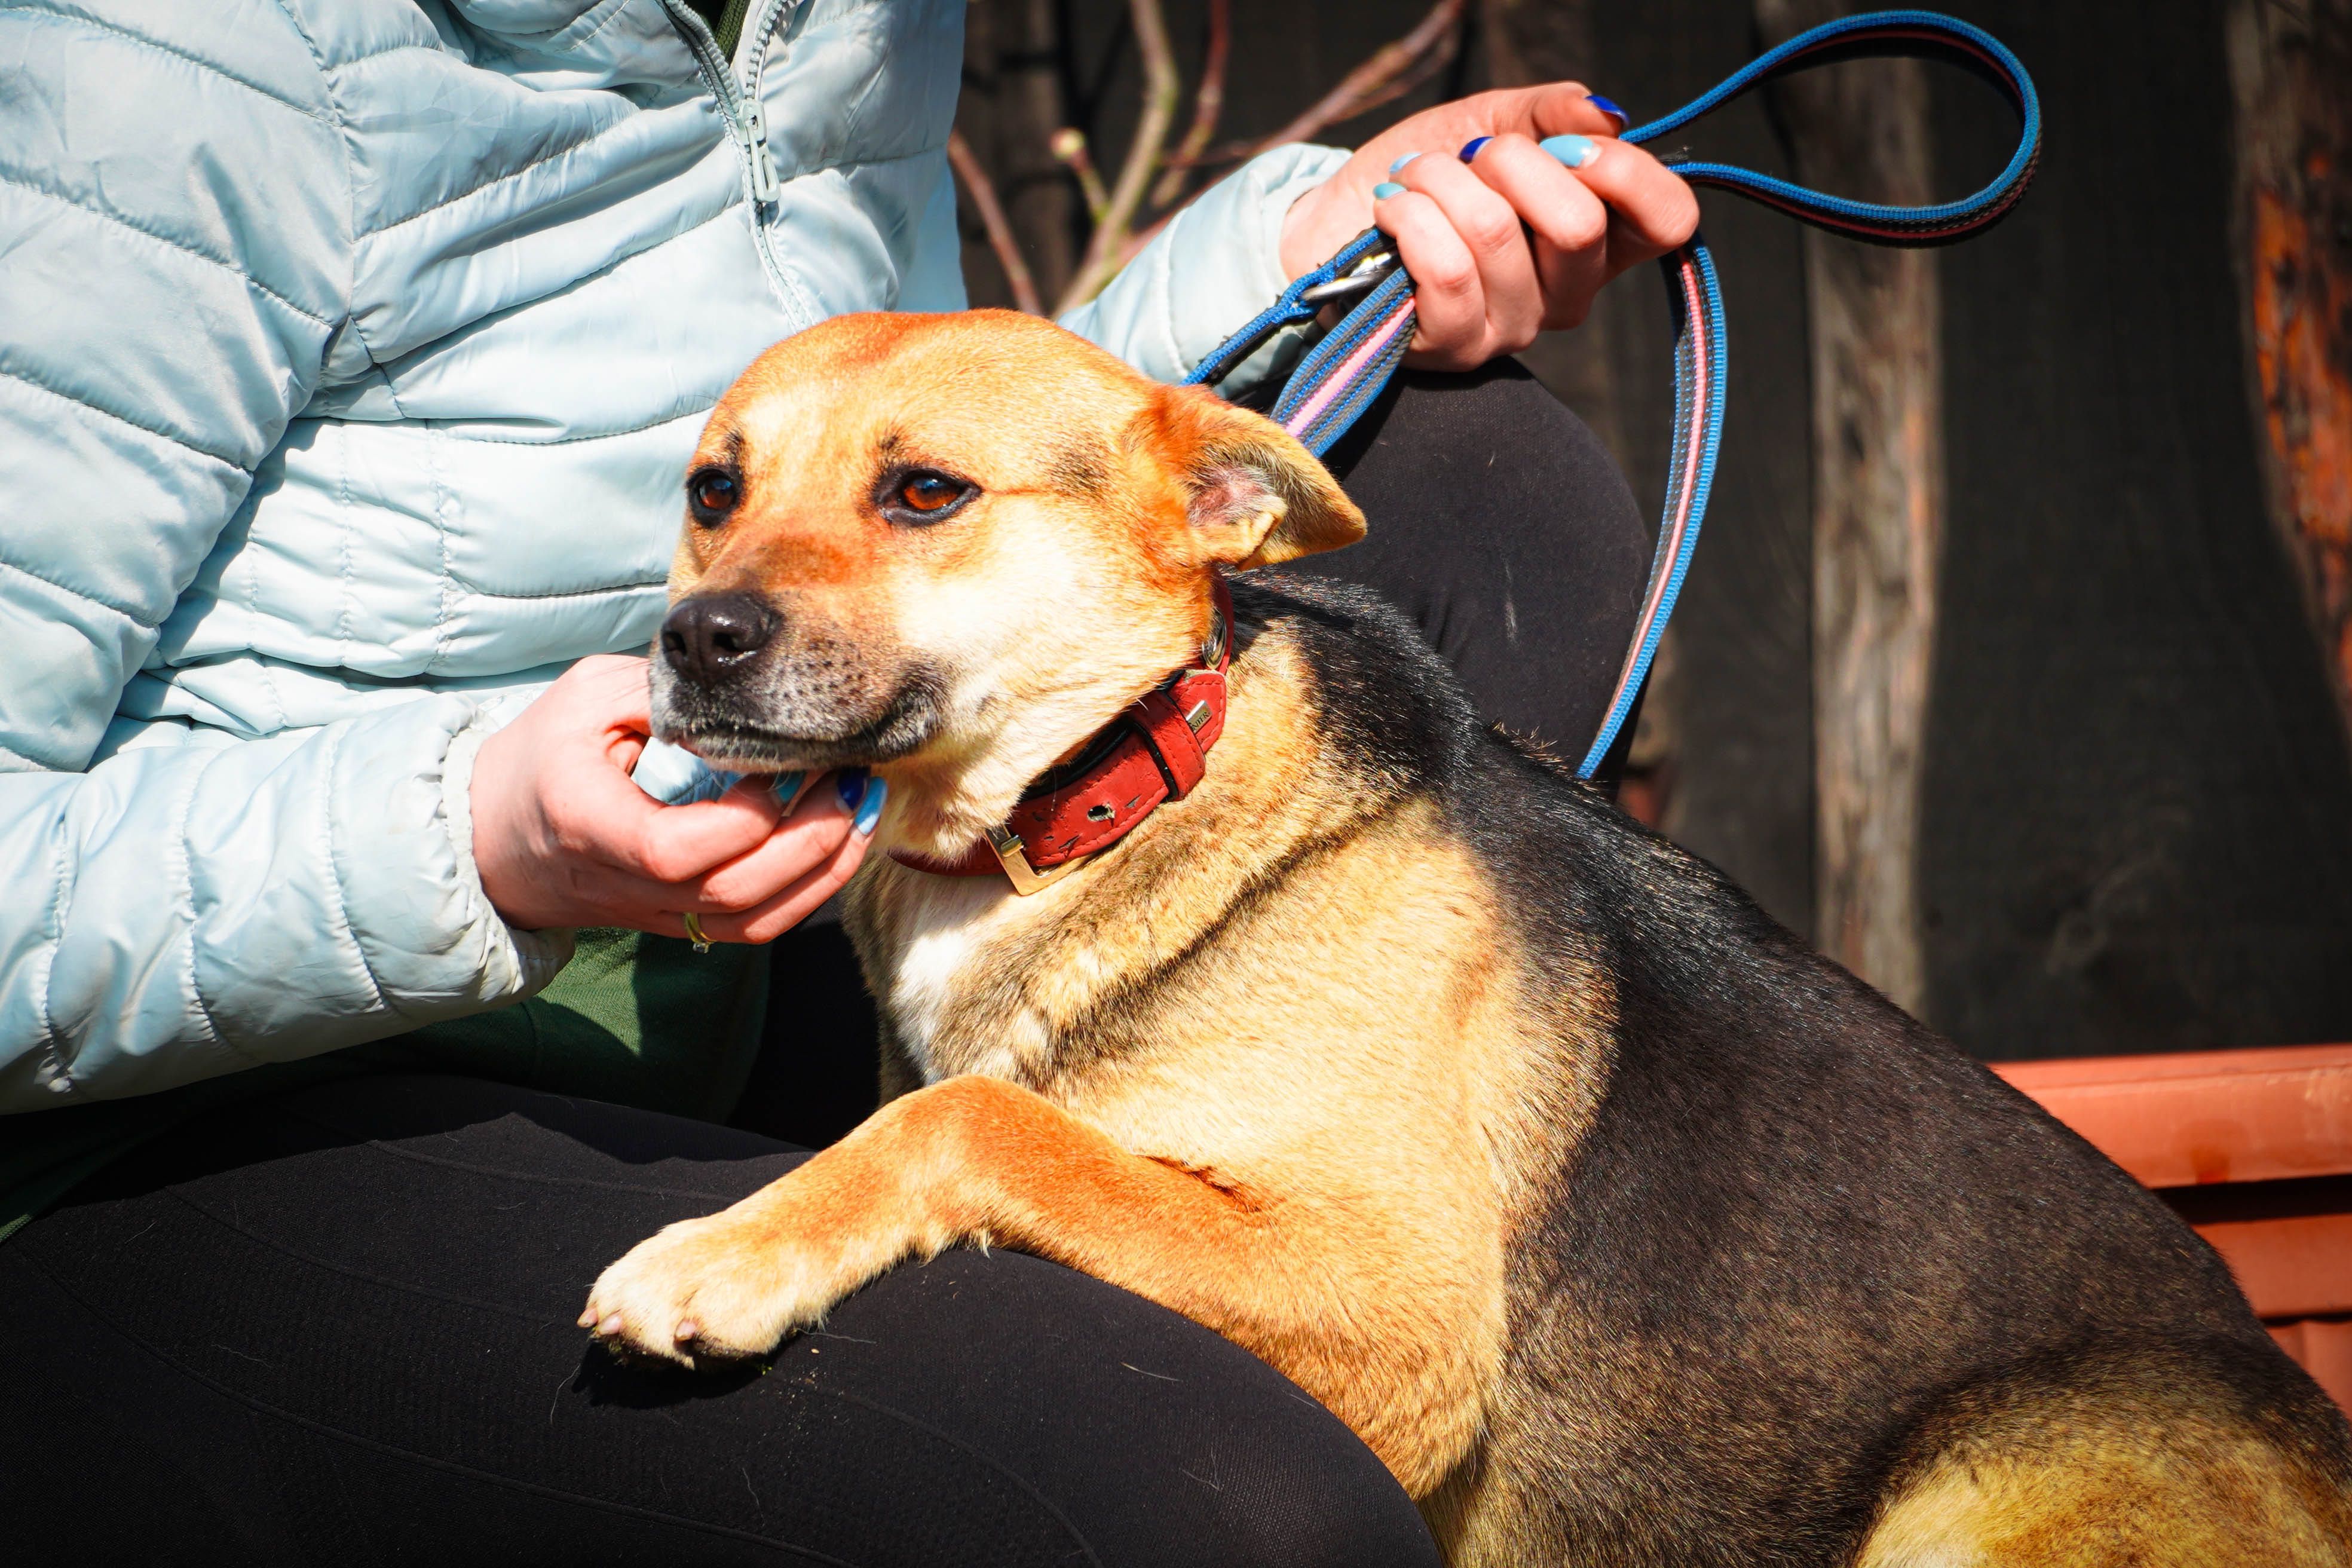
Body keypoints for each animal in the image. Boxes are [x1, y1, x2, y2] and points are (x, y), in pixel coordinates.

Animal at [583, 310, 2352, 1568]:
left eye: (924, 492)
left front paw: (723, 1252)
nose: (694, 640)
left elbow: (973, 1117)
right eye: (712, 491)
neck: (1087, 810)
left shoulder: (1398, 1316)